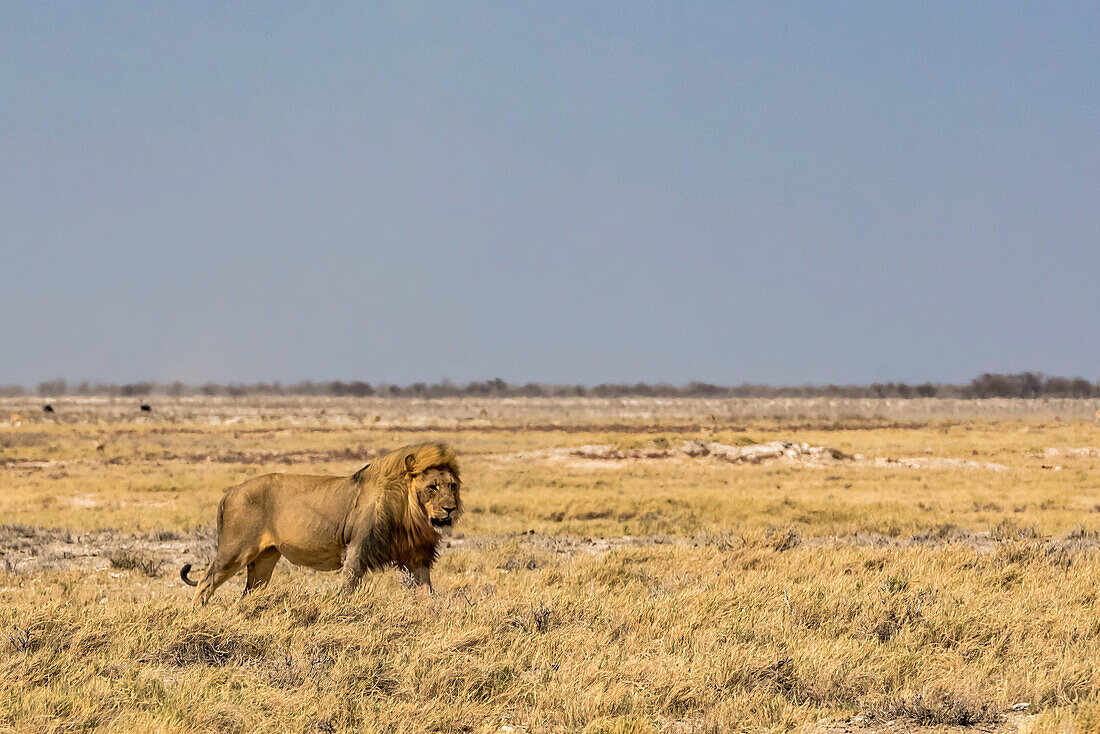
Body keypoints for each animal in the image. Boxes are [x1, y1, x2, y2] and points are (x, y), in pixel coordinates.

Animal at [179, 442, 459, 603]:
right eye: (432, 487)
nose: (451, 509)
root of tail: (229, 493)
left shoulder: (416, 555)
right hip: (235, 550)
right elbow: (347, 588)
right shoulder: (357, 549)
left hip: (264, 559)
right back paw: (199, 618)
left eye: (452, 486)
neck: (410, 513)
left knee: (249, 593)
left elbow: (426, 592)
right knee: (205, 583)